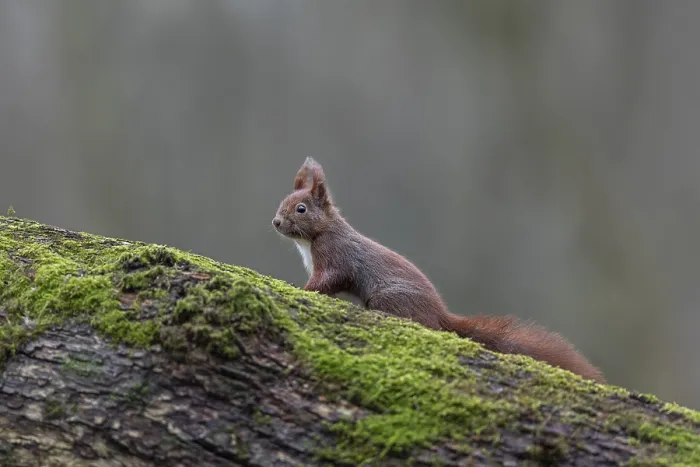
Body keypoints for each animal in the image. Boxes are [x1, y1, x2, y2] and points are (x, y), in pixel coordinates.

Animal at [272, 158, 605, 383]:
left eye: (301, 209)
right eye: (282, 202)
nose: (275, 222)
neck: (315, 237)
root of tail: (441, 315)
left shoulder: (335, 257)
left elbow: (327, 281)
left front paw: (302, 290)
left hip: (387, 299)